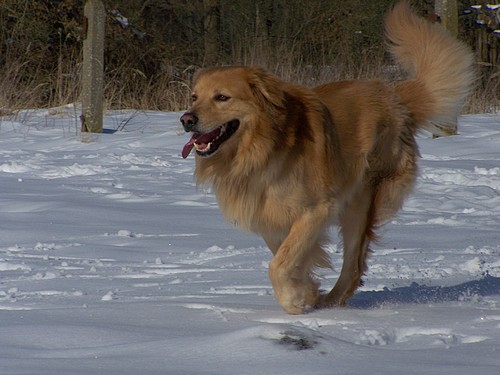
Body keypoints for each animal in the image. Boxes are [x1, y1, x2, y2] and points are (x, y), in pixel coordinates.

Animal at [179, 1, 472, 314]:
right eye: (194, 97)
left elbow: (279, 263)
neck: (261, 151)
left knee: (353, 265)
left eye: (222, 97)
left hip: (360, 199)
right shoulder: (267, 215)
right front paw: (305, 290)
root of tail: (394, 97)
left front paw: (296, 299)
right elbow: (286, 255)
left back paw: (332, 302)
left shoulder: (316, 209)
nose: (186, 120)